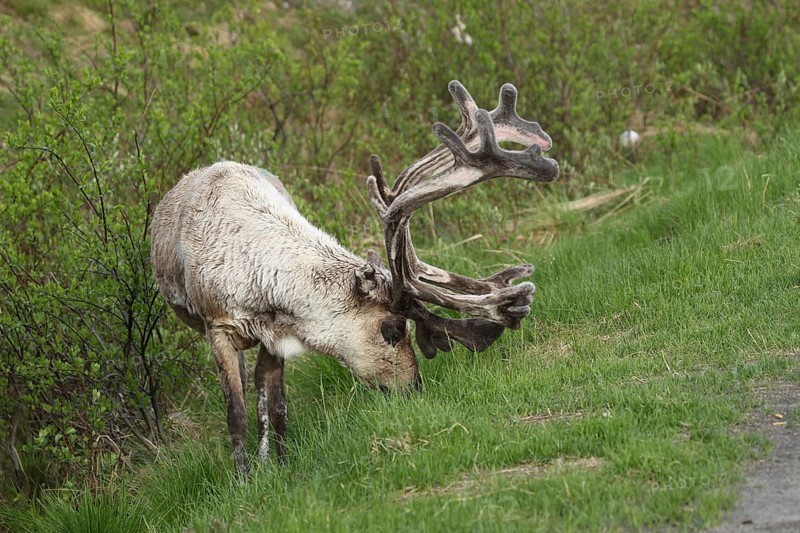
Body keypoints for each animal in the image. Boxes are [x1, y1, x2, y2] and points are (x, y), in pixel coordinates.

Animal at [150, 80, 559, 474]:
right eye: (392, 328)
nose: (415, 388)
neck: (257, 272)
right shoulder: (217, 328)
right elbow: (236, 415)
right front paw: (244, 478)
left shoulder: (276, 335)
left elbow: (277, 408)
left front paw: (278, 465)